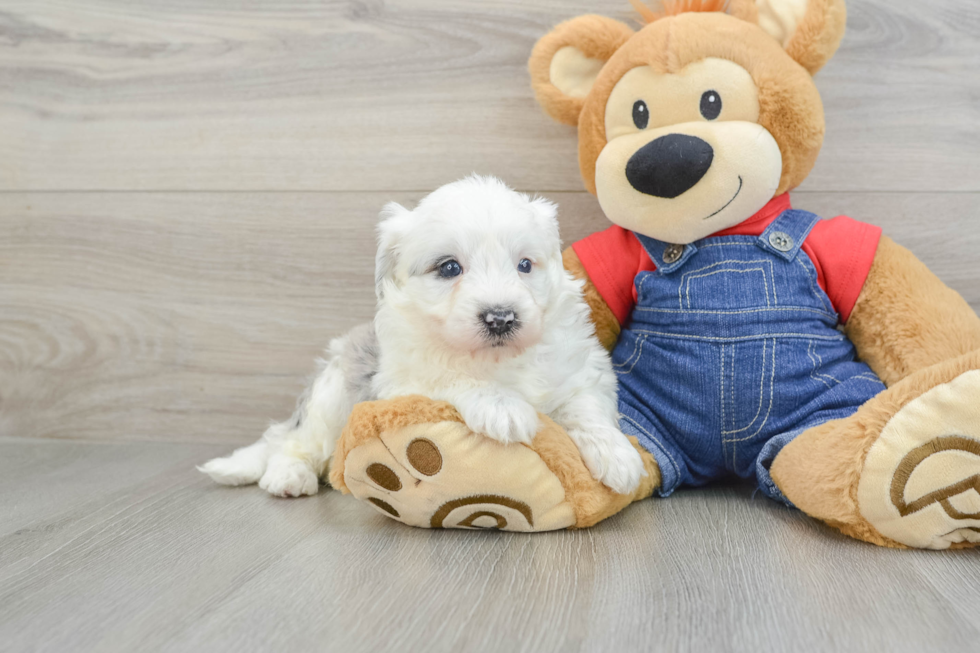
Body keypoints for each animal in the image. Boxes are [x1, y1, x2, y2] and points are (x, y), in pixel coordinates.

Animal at [198, 173, 644, 494]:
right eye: (449, 268)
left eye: (524, 265)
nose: (501, 317)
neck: (496, 358)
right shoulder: (402, 381)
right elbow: (450, 377)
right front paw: (502, 406)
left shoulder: (583, 372)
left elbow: (587, 409)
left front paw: (617, 456)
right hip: (333, 393)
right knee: (292, 441)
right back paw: (289, 476)